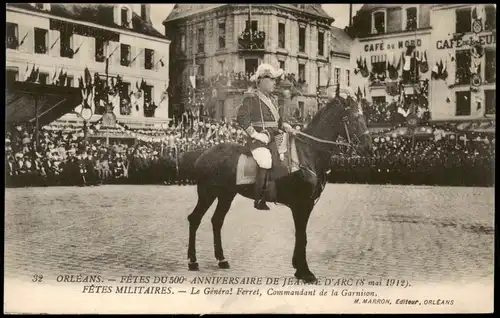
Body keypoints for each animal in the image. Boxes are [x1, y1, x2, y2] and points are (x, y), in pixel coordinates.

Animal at [184, 95, 372, 282]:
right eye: (354, 118)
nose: (368, 147)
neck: (307, 152)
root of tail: (203, 154)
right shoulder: (301, 205)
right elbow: (302, 236)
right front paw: (305, 271)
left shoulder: (306, 205)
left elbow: (301, 235)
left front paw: (299, 268)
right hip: (207, 193)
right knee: (194, 219)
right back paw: (193, 261)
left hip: (226, 195)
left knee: (217, 221)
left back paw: (221, 259)